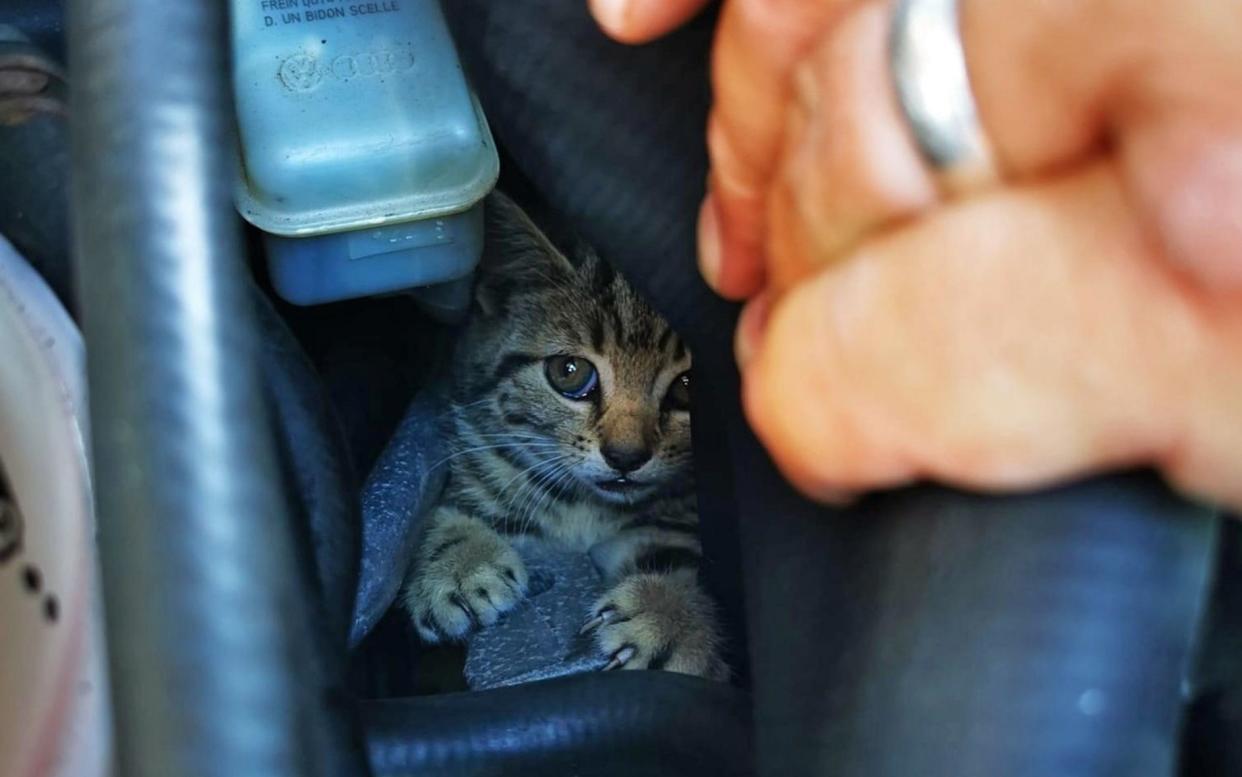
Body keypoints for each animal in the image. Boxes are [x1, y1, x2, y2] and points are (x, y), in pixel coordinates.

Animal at [402, 192, 725, 675]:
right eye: (569, 372)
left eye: (688, 385)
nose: (625, 456)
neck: (585, 506)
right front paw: (457, 559)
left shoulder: (669, 521)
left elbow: (683, 559)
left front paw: (673, 616)